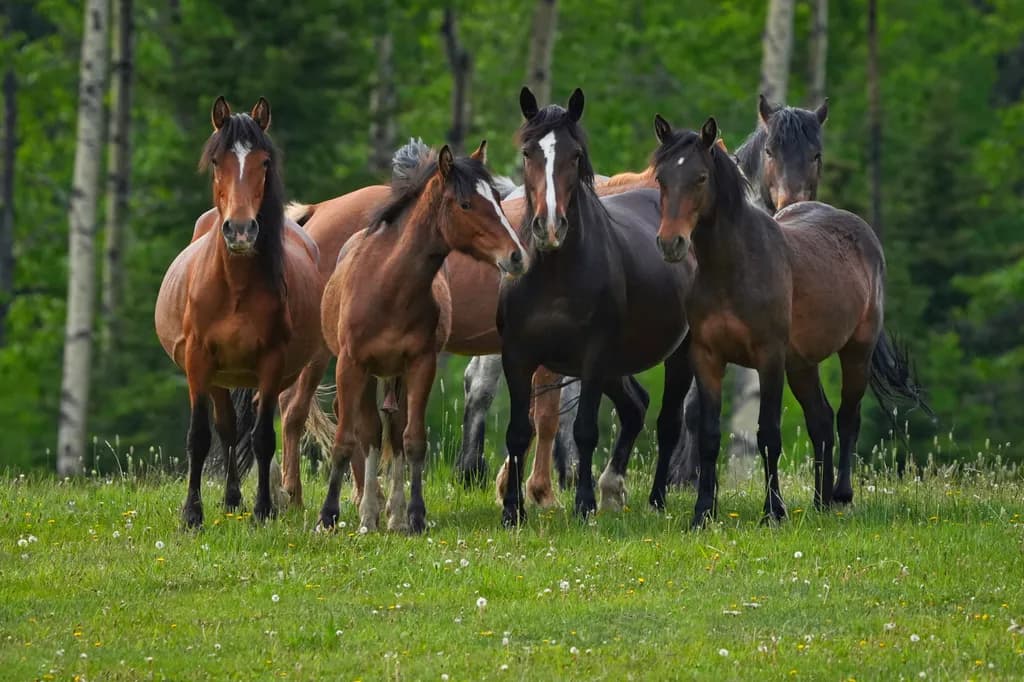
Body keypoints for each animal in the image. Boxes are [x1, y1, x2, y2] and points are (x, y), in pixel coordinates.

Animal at [154, 96, 324, 528]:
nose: (242, 230)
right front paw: (192, 513)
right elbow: (199, 437)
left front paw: (263, 509)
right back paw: (230, 497)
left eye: (264, 162)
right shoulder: (198, 361)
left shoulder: (271, 363)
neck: (234, 286)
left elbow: (264, 438)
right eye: (217, 160)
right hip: (216, 376)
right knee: (228, 428)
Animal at [317, 139, 527, 533]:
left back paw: (393, 514)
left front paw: (414, 515)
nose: (517, 256)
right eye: (465, 203)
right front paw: (327, 516)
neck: (388, 285)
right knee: (370, 432)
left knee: (393, 429)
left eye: (496, 197)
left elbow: (413, 439)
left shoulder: (421, 365)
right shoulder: (350, 365)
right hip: (368, 375)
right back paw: (368, 514)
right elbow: (345, 439)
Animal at [497, 86, 694, 527]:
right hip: (616, 365)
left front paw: (583, 504)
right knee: (635, 407)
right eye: (528, 153)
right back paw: (613, 490)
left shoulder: (592, 355)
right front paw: (513, 510)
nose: (549, 226)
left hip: (677, 353)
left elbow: (585, 429)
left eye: (574, 156)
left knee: (669, 422)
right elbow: (518, 431)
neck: (554, 274)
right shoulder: (517, 356)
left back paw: (653, 499)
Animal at [652, 114, 928, 528]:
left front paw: (774, 511)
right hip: (802, 364)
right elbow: (710, 435)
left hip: (855, 352)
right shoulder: (707, 356)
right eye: (661, 178)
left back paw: (841, 494)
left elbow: (768, 434)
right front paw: (702, 513)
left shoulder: (769, 359)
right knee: (821, 420)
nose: (671, 243)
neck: (733, 267)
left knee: (848, 417)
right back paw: (820, 500)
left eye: (700, 178)